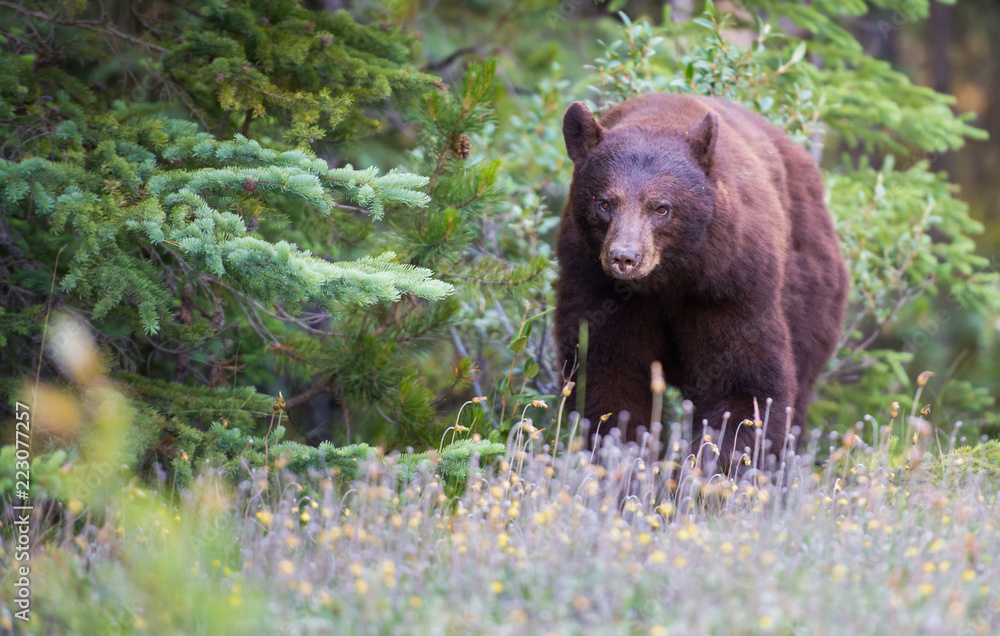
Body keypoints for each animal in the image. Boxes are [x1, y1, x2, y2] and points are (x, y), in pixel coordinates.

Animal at [556, 95, 852, 472]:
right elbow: (607, 374)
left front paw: (706, 471)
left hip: (810, 289)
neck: (665, 281)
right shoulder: (594, 283)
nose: (624, 258)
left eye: (661, 208)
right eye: (604, 203)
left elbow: (743, 383)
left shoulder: (730, 284)